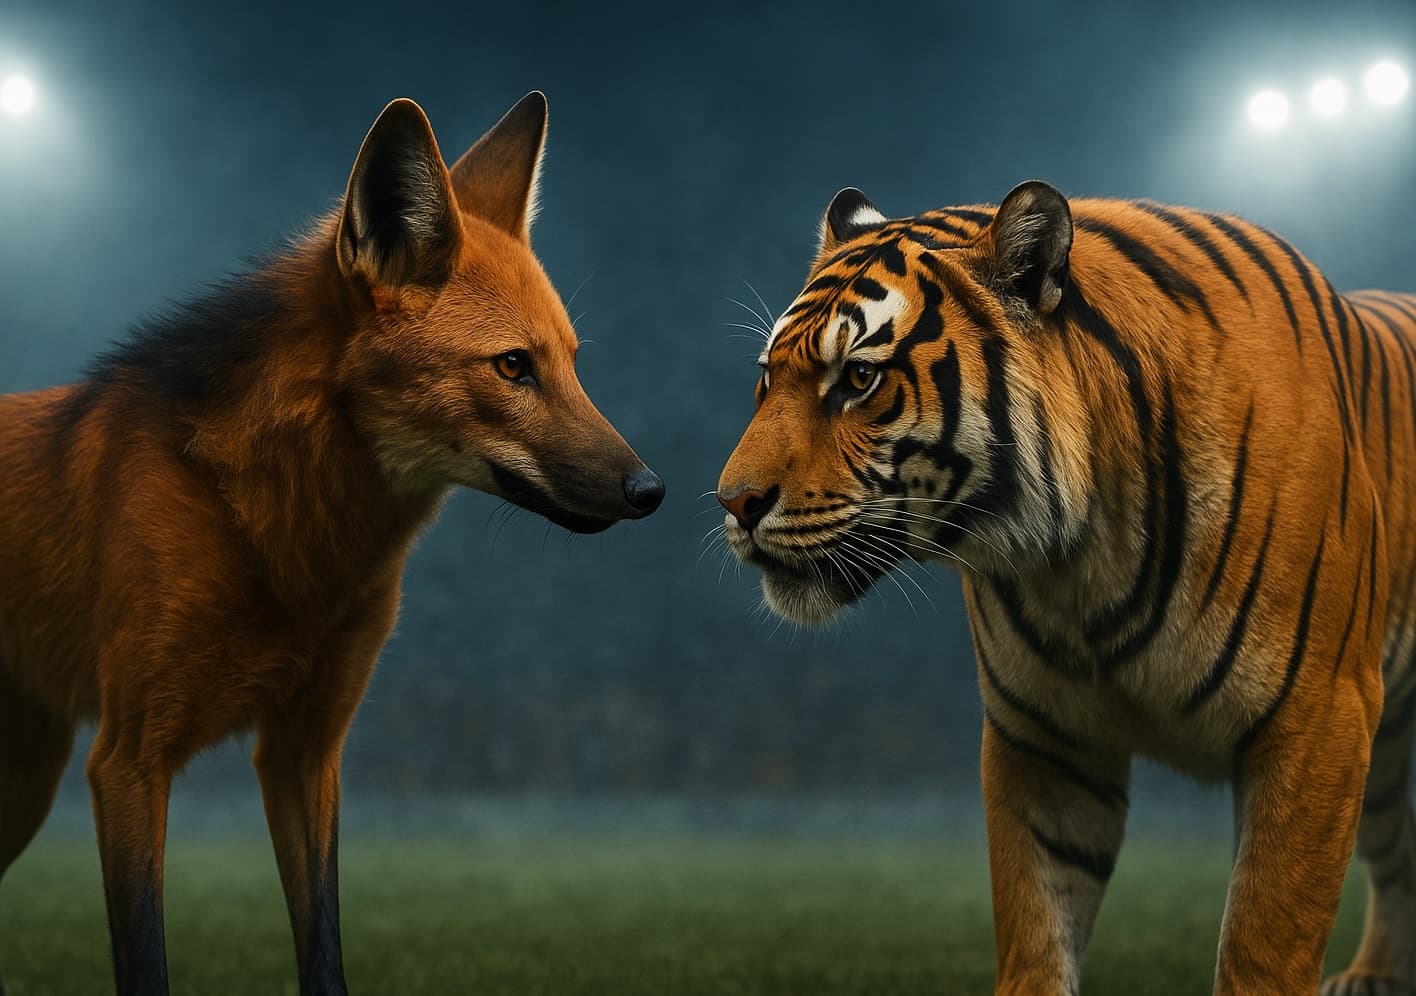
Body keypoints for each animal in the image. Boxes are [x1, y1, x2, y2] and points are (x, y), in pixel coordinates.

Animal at [715, 179, 1416, 995]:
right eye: (767, 379)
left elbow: (1263, 944)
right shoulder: (1044, 738)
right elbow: (1036, 922)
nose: (733, 502)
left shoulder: (1318, 718)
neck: (1084, 555)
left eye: (860, 379)